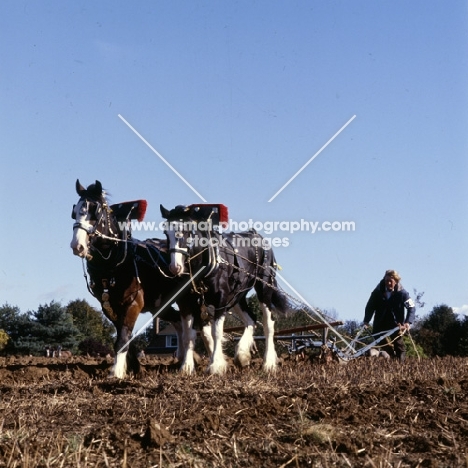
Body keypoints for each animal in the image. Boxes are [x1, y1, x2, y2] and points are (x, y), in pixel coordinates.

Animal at [69, 181, 208, 378]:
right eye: (75, 211)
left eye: (95, 211)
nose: (77, 245)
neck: (115, 264)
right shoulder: (108, 306)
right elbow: (124, 335)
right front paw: (133, 367)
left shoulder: (133, 302)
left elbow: (122, 338)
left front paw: (116, 372)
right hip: (161, 304)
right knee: (178, 321)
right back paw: (183, 356)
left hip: (189, 297)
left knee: (199, 325)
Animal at [160, 203, 288, 374]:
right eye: (166, 232)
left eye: (187, 231)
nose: (175, 267)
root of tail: (259, 237)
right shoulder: (187, 302)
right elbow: (189, 335)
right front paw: (186, 367)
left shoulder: (220, 299)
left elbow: (216, 332)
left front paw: (215, 365)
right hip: (237, 296)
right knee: (251, 320)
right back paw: (242, 355)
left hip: (264, 287)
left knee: (268, 325)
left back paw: (268, 363)